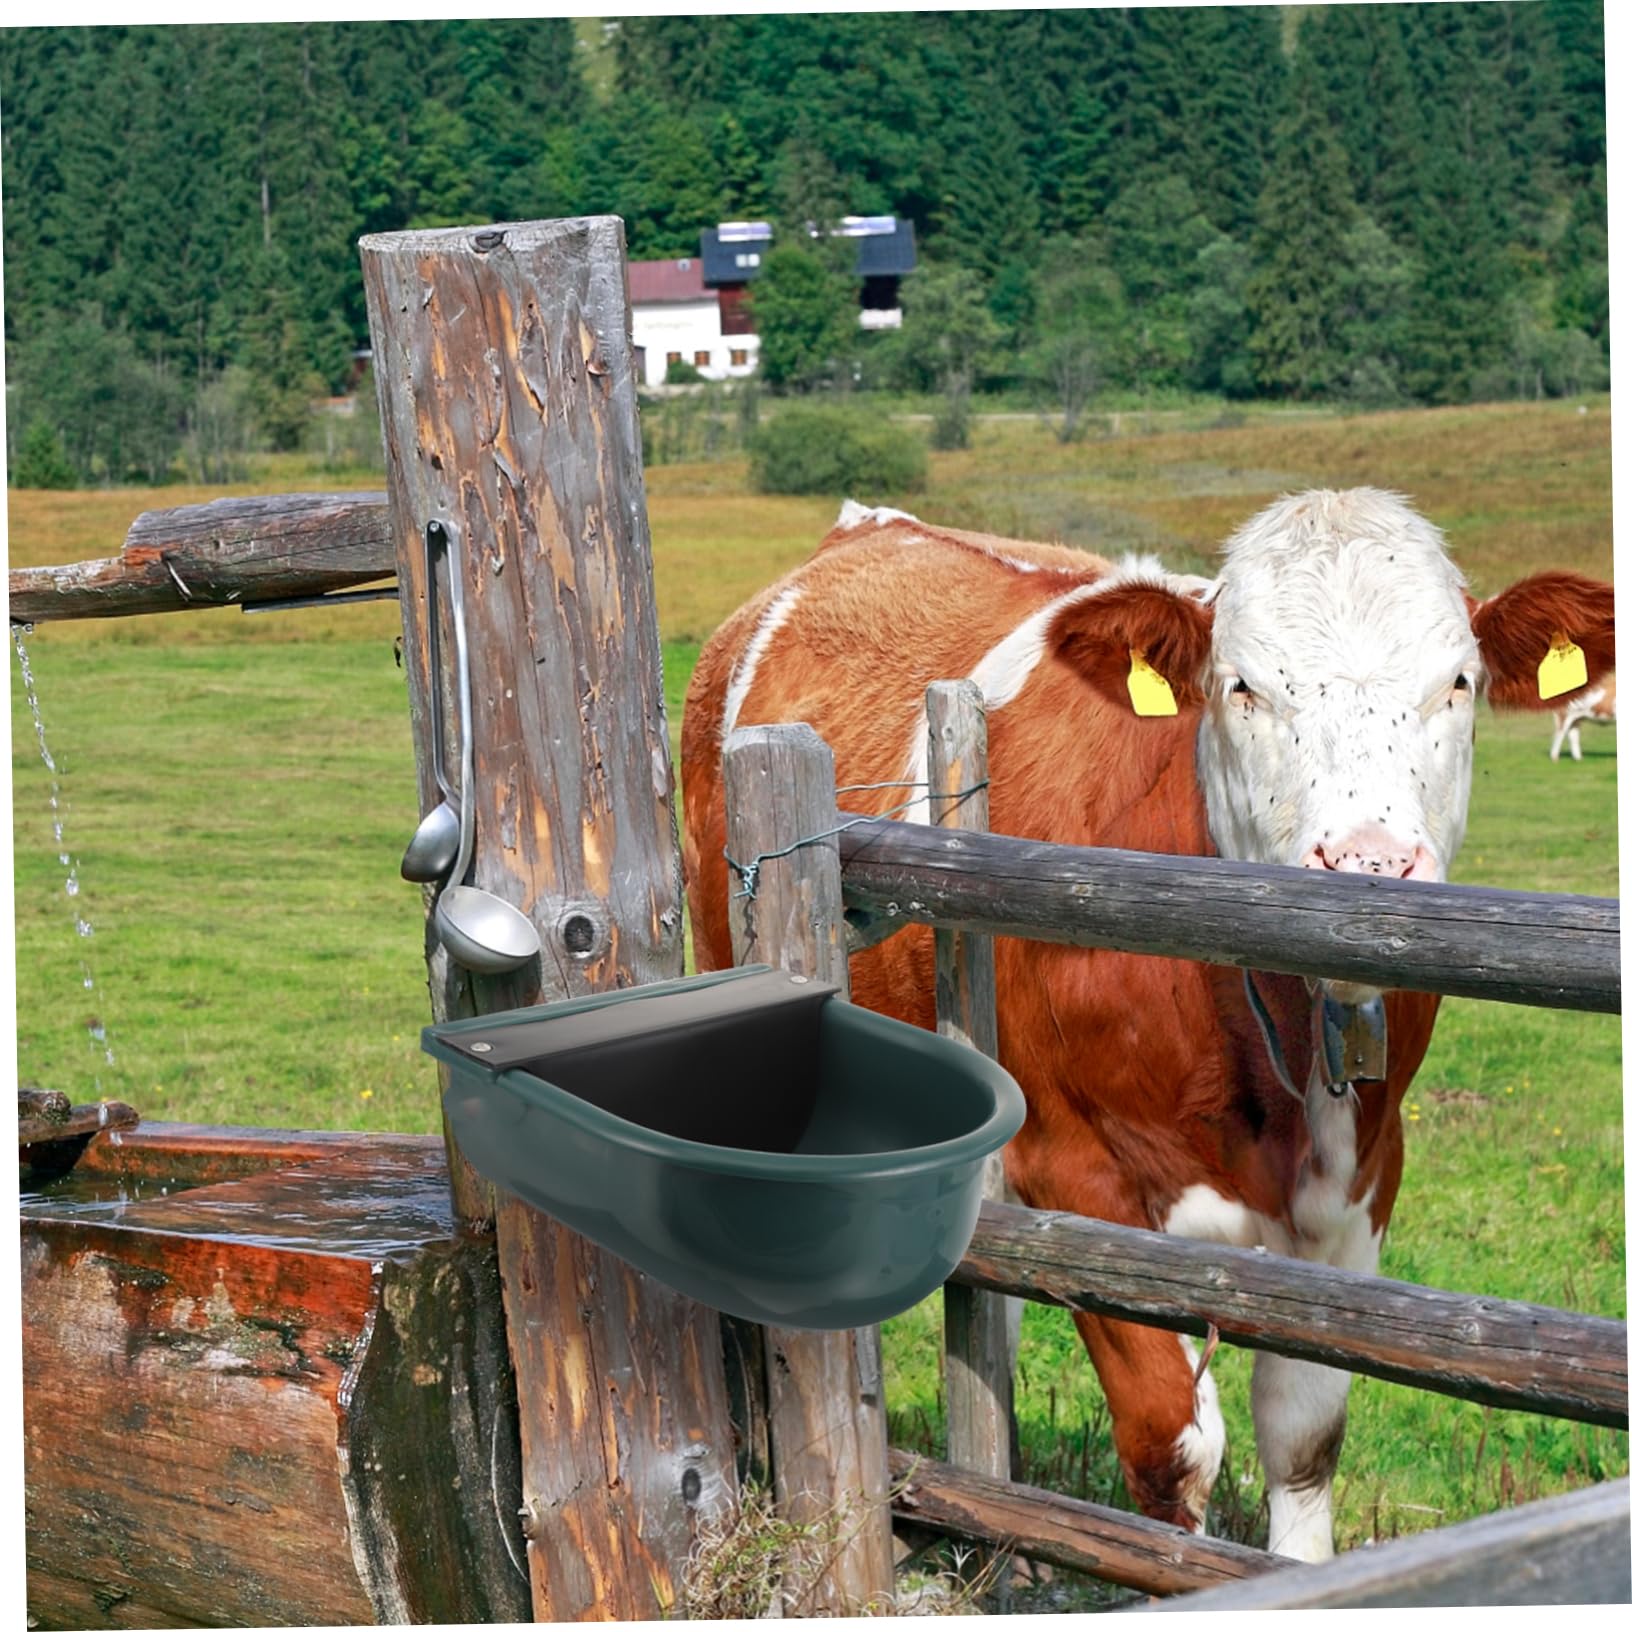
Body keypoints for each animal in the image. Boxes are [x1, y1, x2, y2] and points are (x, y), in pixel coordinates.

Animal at [679, 490, 1614, 1562]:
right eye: (1241, 686)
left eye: (1457, 681)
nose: (1370, 864)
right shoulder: (1075, 1173)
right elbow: (1174, 1444)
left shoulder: (1364, 1183)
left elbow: (1304, 1436)